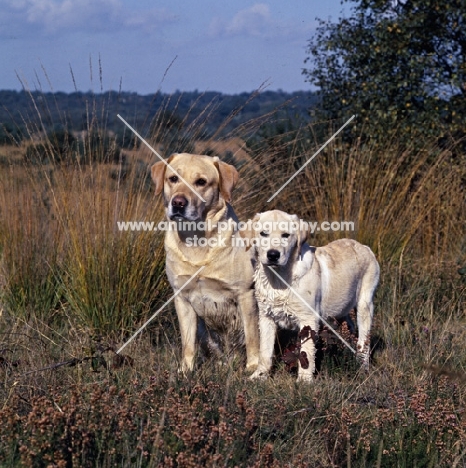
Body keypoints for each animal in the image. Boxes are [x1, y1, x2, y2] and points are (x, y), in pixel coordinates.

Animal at [249, 210, 380, 382]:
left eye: (286, 235)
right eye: (263, 233)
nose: (273, 255)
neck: (279, 278)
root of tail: (364, 246)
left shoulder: (308, 319)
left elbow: (306, 352)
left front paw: (304, 380)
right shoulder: (266, 317)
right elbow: (264, 351)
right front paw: (260, 376)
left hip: (364, 304)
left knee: (364, 340)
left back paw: (362, 367)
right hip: (341, 308)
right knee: (350, 326)